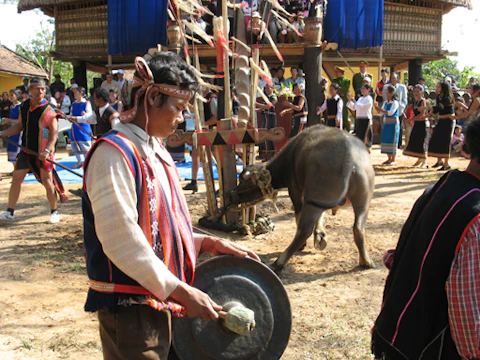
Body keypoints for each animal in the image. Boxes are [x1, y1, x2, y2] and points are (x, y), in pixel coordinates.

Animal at [231, 125, 376, 272]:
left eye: (242, 181)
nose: (232, 195)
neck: (291, 156)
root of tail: (349, 160)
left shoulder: (295, 191)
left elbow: (298, 215)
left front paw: (307, 243)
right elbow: (321, 216)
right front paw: (320, 236)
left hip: (313, 202)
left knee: (304, 230)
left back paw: (279, 262)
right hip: (362, 203)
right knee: (358, 229)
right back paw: (366, 261)